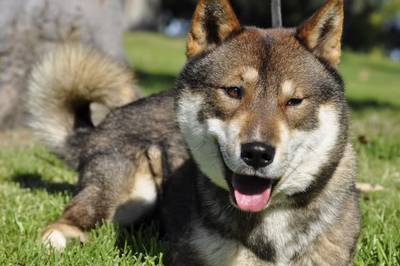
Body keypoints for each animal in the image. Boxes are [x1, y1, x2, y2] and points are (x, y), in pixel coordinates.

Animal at [27, 0, 360, 264]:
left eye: (294, 101)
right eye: (233, 91)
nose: (257, 153)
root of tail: (101, 125)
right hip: (128, 193)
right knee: (66, 222)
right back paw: (64, 241)